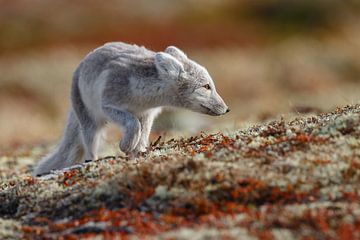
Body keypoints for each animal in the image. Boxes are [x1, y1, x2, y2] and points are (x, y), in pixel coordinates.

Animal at [33, 42, 228, 175]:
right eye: (206, 86)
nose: (227, 110)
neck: (144, 98)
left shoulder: (148, 114)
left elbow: (143, 134)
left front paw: (138, 153)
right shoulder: (109, 105)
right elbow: (134, 124)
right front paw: (125, 146)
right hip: (91, 125)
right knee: (90, 148)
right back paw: (92, 162)